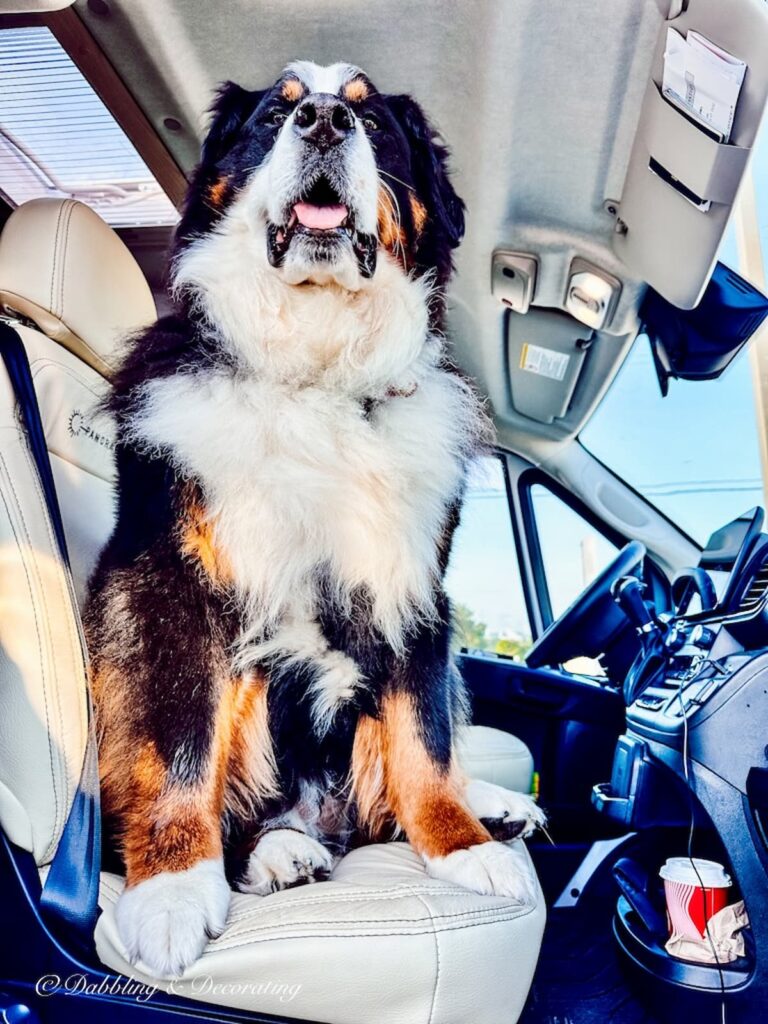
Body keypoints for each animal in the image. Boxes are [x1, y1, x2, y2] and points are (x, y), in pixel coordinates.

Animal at [85, 61, 548, 974]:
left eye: (374, 121)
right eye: (276, 112)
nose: (327, 121)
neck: (320, 368)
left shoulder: (416, 589)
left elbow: (424, 739)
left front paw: (464, 846)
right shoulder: (169, 587)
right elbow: (179, 740)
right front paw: (172, 892)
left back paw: (486, 804)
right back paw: (274, 851)